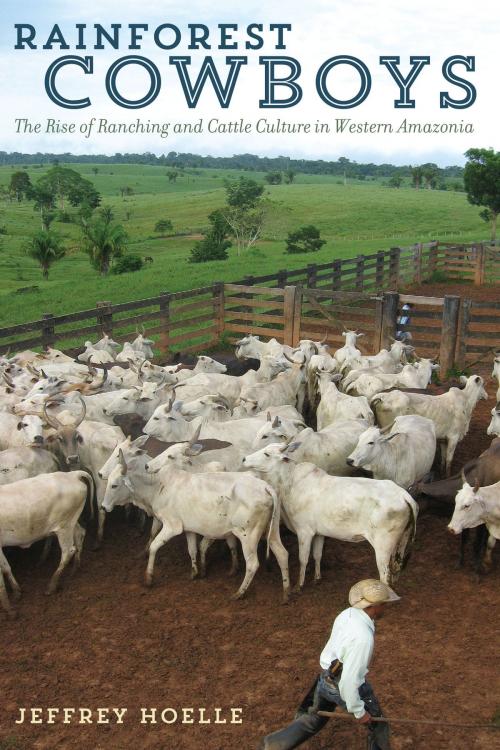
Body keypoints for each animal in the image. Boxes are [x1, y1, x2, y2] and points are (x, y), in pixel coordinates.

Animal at [242, 444, 418, 592]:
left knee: (385, 575)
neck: (290, 483)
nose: (244, 459)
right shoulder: (319, 533)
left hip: (383, 545)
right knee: (397, 568)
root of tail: (404, 495)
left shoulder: (304, 531)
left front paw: (299, 586)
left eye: (266, 454)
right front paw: (317, 578)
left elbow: (303, 558)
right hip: (402, 540)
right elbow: (317, 555)